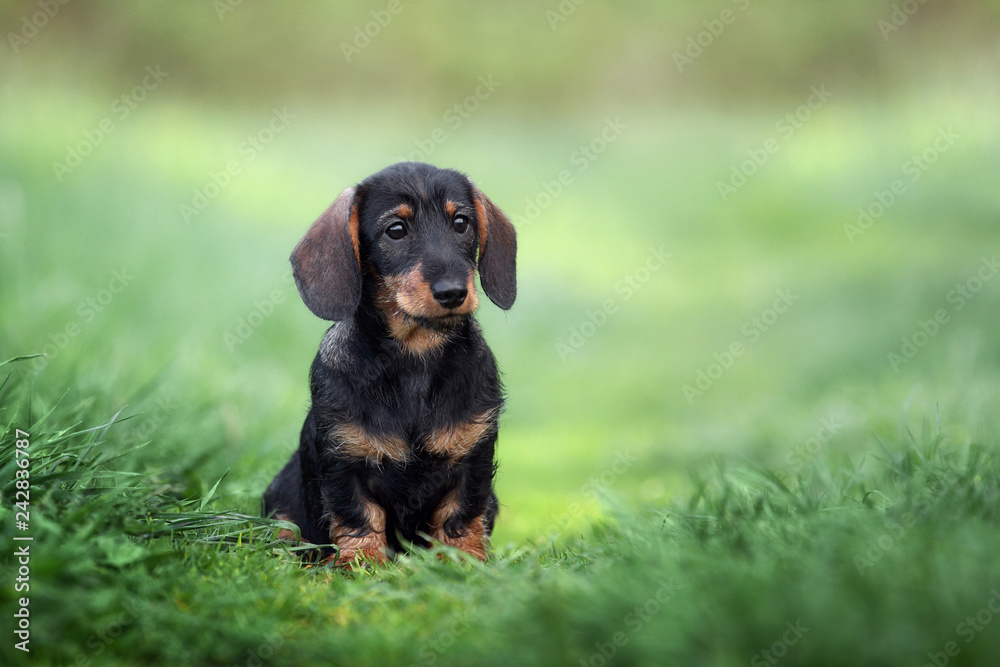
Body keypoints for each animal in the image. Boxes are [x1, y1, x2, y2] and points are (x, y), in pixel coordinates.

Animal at [262, 160, 520, 564]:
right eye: (395, 230)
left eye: (461, 222)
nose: (453, 293)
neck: (414, 358)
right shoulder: (344, 459)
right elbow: (359, 517)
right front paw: (361, 565)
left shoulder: (472, 459)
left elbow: (461, 516)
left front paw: (465, 564)